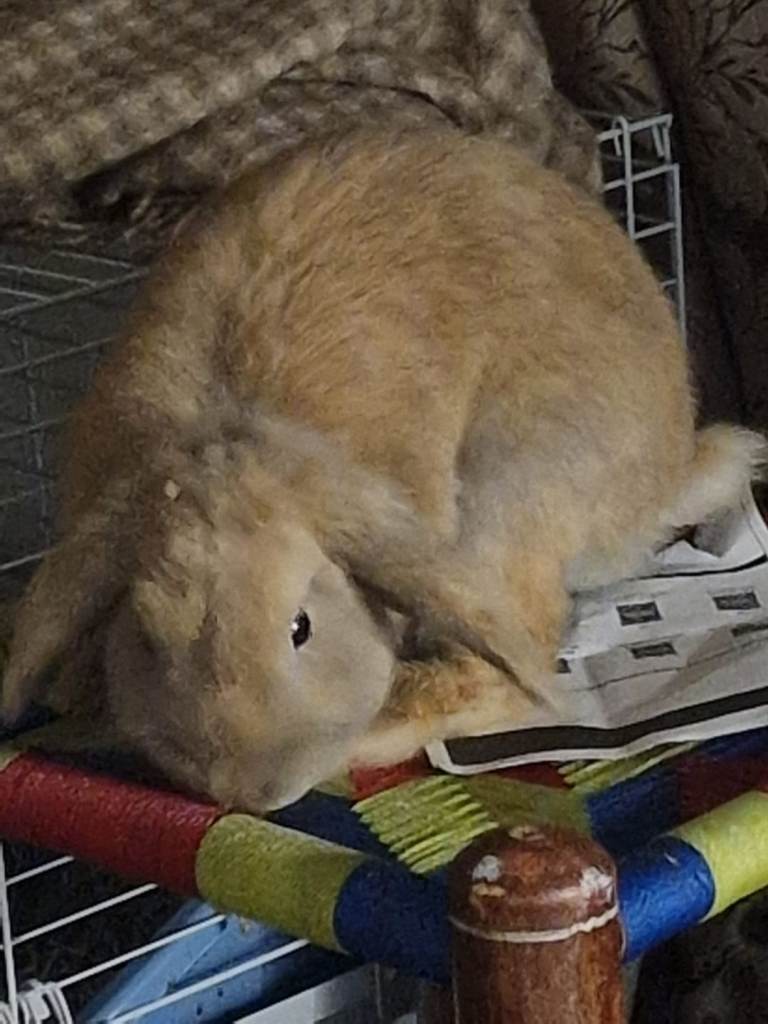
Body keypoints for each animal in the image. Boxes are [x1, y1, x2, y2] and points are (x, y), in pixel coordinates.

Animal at [2, 126, 764, 812]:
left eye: (300, 627)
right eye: (149, 637)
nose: (249, 792)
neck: (229, 426)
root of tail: (664, 475)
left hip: (509, 496)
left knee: (506, 666)